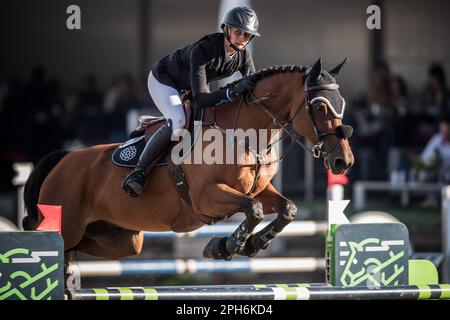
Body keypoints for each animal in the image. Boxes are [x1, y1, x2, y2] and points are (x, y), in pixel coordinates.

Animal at [22, 58, 356, 262]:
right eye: (319, 106)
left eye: (342, 103)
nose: (344, 162)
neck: (244, 134)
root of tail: (64, 160)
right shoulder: (206, 197)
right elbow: (254, 209)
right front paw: (225, 246)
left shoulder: (258, 189)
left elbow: (287, 209)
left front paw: (251, 244)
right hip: (69, 221)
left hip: (121, 239)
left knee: (76, 248)